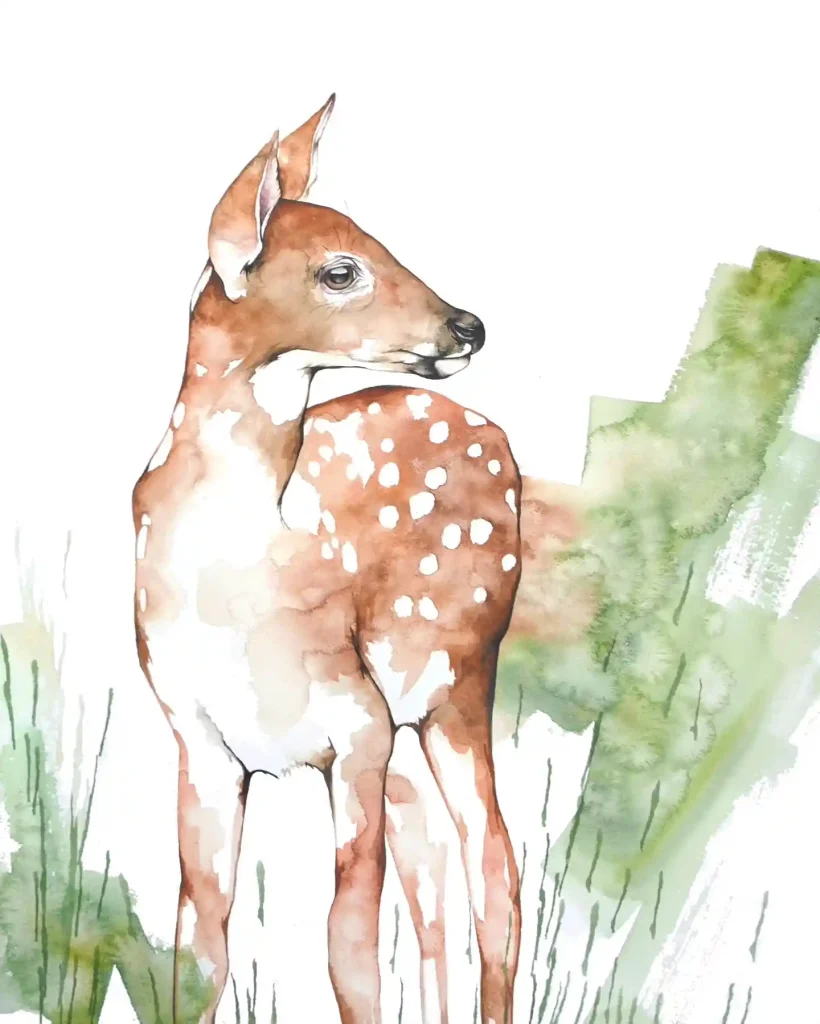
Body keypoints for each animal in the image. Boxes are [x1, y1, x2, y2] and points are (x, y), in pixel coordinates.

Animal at [132, 95, 522, 1024]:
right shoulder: (198, 737)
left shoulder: (355, 725)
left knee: (494, 873)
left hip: (461, 670)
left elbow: (347, 951)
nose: (469, 325)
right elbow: (199, 951)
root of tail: (494, 432)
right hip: (412, 724)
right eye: (341, 269)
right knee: (435, 879)